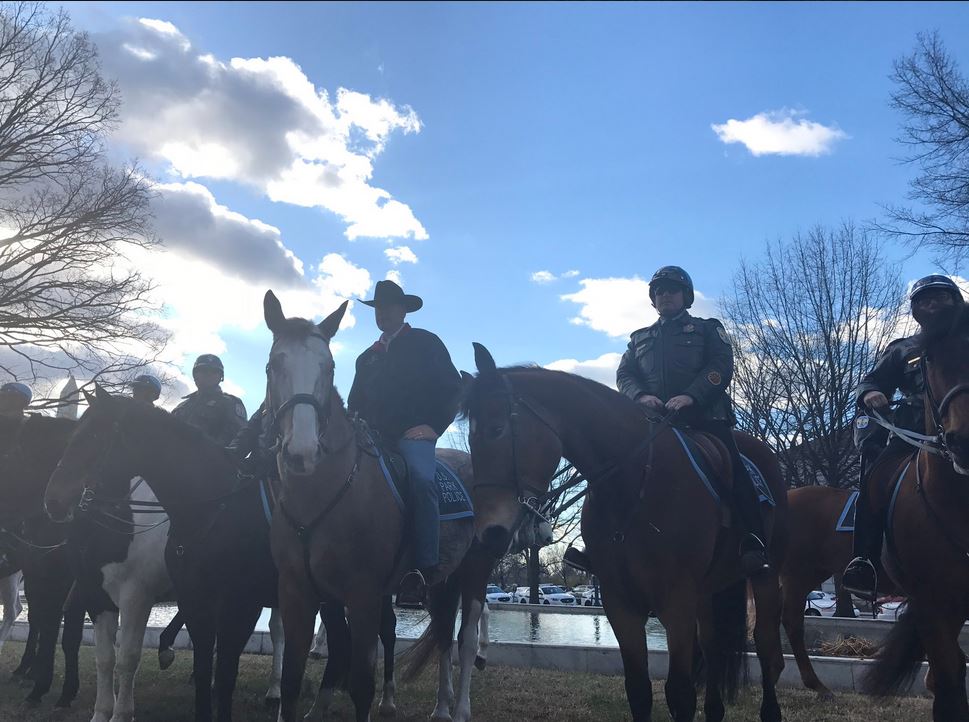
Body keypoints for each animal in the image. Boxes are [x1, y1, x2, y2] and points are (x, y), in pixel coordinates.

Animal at [45, 388, 278, 720]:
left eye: (95, 436)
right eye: (71, 438)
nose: (53, 501)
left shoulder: (136, 597)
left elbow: (127, 658)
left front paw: (122, 713)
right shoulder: (97, 597)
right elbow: (104, 659)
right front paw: (101, 712)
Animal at [260, 292, 476, 720]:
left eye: (328, 367)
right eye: (274, 365)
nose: (302, 452)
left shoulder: (361, 594)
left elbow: (360, 683)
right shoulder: (297, 592)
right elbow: (291, 682)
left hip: (471, 575)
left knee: (460, 640)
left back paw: (454, 707)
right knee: (441, 634)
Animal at [462, 342, 788, 720]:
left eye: (497, 429)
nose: (489, 532)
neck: (633, 483)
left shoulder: (676, 601)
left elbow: (680, 693)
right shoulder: (620, 603)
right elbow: (638, 689)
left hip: (765, 578)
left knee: (767, 648)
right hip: (708, 591)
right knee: (714, 648)